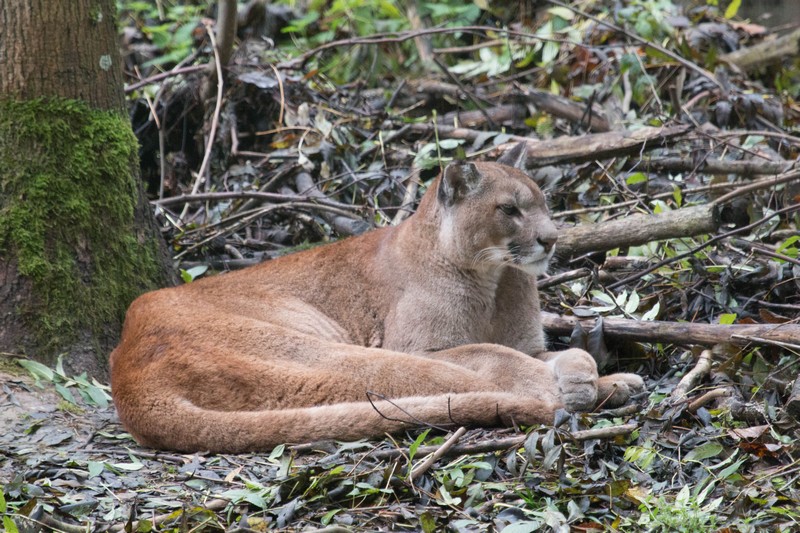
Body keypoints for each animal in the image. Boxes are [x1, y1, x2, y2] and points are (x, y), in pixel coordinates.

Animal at [109, 143, 644, 450]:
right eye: (509, 209)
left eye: (545, 204)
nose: (551, 239)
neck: (493, 278)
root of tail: (126, 367)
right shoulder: (420, 345)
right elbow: (496, 353)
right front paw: (575, 375)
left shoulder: (527, 339)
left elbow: (535, 351)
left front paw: (597, 372)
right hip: (326, 351)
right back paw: (573, 388)